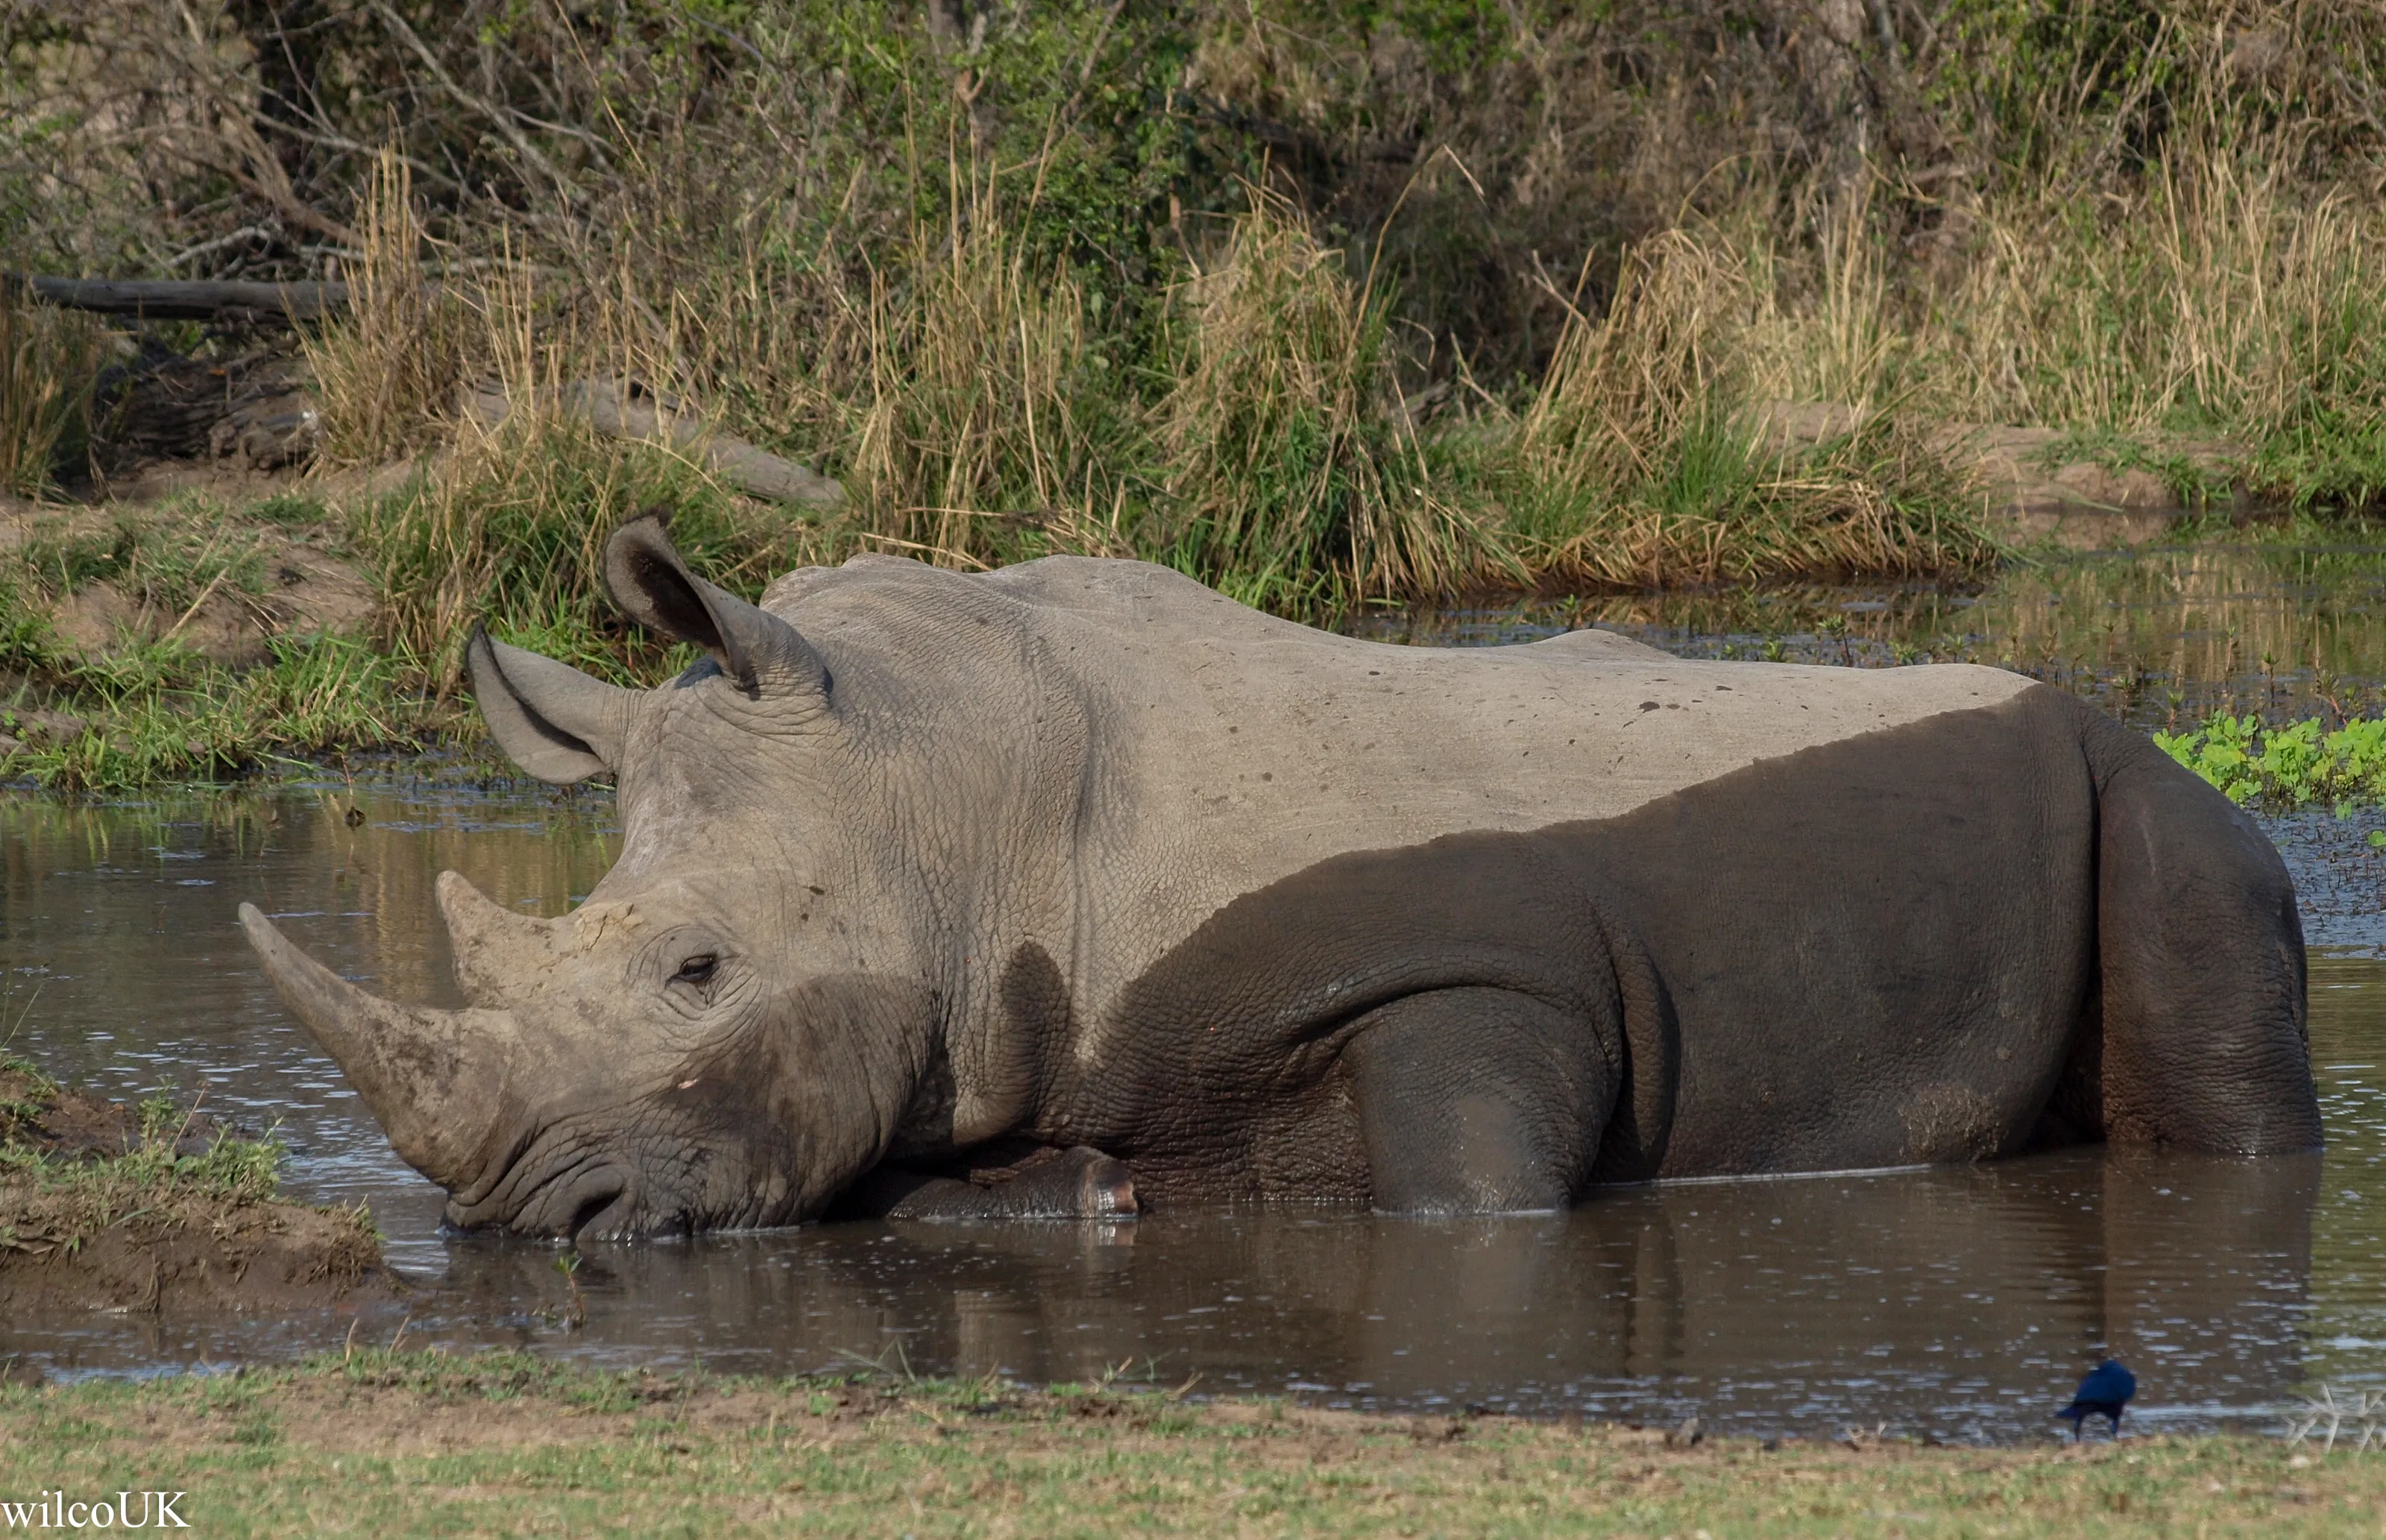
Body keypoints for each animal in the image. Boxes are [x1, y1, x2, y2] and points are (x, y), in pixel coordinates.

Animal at [240, 515, 2322, 1239]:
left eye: (692, 971)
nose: (524, 1215)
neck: (957, 793)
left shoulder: (1476, 976)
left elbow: (1470, 1198)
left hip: (2149, 795)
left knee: (2218, 1009)